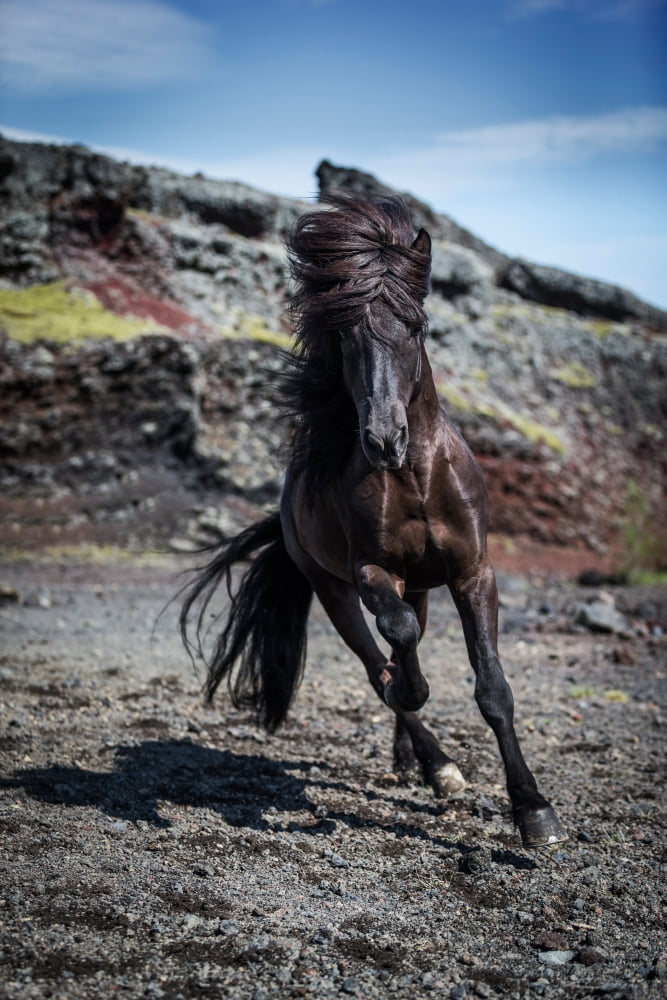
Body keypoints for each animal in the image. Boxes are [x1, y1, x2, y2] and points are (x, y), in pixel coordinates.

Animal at [180, 195, 566, 848]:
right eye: (346, 334)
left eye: (414, 327)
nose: (385, 440)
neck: (417, 479)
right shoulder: (369, 572)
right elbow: (399, 649)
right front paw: (409, 693)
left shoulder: (474, 572)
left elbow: (493, 688)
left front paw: (534, 811)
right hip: (332, 590)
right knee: (377, 657)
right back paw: (433, 758)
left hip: (423, 586)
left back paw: (417, 763)